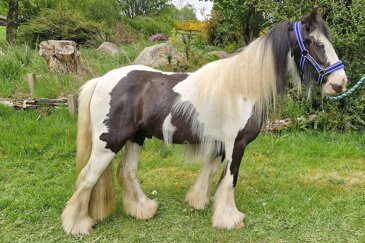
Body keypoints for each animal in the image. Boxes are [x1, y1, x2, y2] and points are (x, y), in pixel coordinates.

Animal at [61, 8, 346, 235]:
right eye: (313, 42)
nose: (339, 83)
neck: (242, 88)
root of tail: (102, 80)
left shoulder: (220, 143)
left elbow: (210, 173)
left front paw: (199, 202)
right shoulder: (236, 144)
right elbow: (229, 179)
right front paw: (229, 219)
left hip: (135, 138)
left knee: (127, 172)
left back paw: (143, 210)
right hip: (108, 143)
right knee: (87, 177)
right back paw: (77, 225)